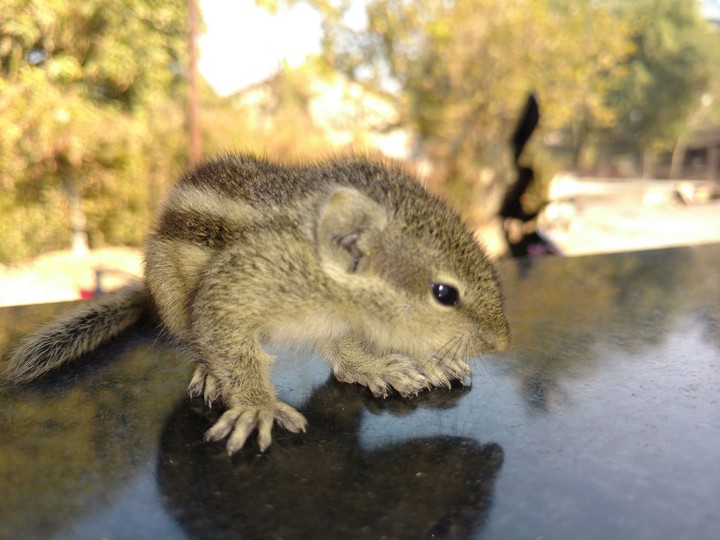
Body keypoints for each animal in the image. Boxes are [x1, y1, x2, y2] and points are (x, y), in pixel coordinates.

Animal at [4, 154, 510, 454]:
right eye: (444, 293)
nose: (503, 342)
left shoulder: (339, 323)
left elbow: (347, 352)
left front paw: (383, 363)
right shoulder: (239, 287)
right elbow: (224, 332)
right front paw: (255, 405)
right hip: (171, 296)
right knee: (197, 340)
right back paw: (211, 373)